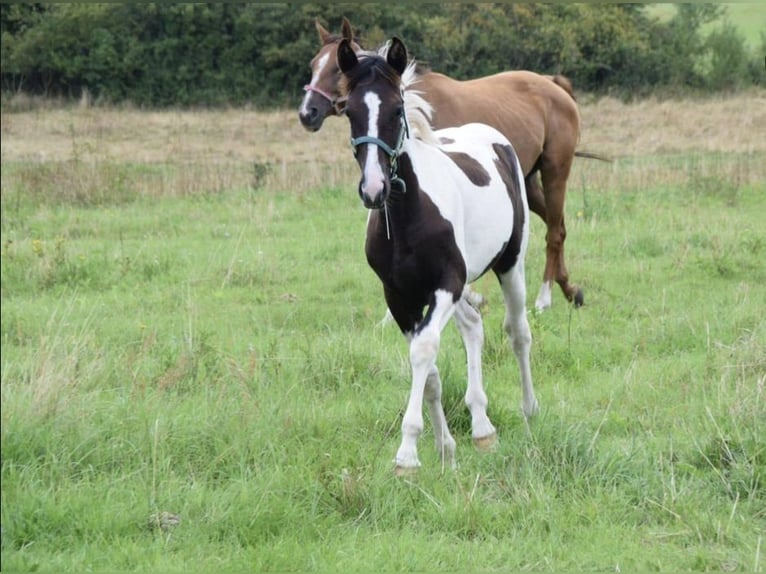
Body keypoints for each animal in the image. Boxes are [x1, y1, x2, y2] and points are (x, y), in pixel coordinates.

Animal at [300, 18, 592, 312]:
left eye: (335, 68)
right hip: (527, 185)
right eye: (313, 64)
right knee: (559, 226)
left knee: (553, 233)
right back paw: (570, 289)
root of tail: (555, 85)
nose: (307, 113)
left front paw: (473, 297)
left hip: (555, 173)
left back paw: (545, 297)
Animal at [336, 38, 540, 474]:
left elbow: (424, 350)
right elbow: (428, 371)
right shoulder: (400, 297)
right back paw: (482, 428)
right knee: (474, 326)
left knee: (518, 333)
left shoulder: (446, 284)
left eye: (396, 109)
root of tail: (491, 135)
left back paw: (530, 410)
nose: (373, 190)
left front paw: (407, 454)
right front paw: (445, 446)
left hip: (510, 265)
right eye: (350, 111)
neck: (409, 219)